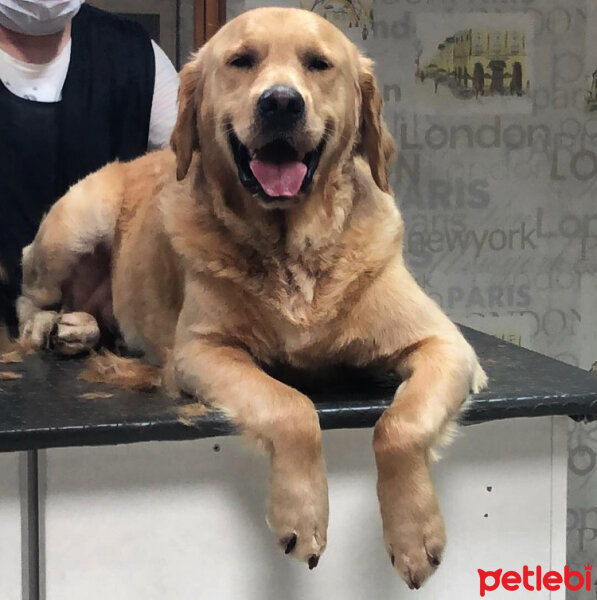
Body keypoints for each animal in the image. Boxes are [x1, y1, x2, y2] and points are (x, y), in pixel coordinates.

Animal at [16, 7, 486, 588]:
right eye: (242, 60)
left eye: (318, 63)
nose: (281, 102)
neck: (291, 249)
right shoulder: (202, 352)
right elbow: (289, 405)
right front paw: (301, 518)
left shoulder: (445, 345)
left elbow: (401, 424)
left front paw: (414, 535)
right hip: (74, 225)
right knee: (29, 296)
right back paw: (49, 328)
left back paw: (77, 329)